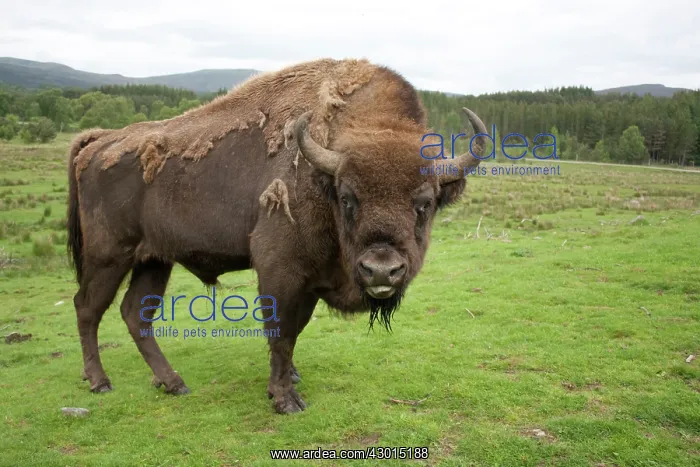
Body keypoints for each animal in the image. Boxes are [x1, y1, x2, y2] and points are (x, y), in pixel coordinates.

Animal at [67, 58, 487, 413]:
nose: (381, 271)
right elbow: (282, 334)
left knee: (135, 313)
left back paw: (172, 383)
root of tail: (99, 141)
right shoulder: (281, 271)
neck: (322, 176)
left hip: (154, 259)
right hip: (109, 256)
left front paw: (286, 382)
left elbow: (294, 331)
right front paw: (286, 399)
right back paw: (100, 382)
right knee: (87, 307)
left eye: (426, 202)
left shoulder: (310, 281)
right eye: (347, 197)